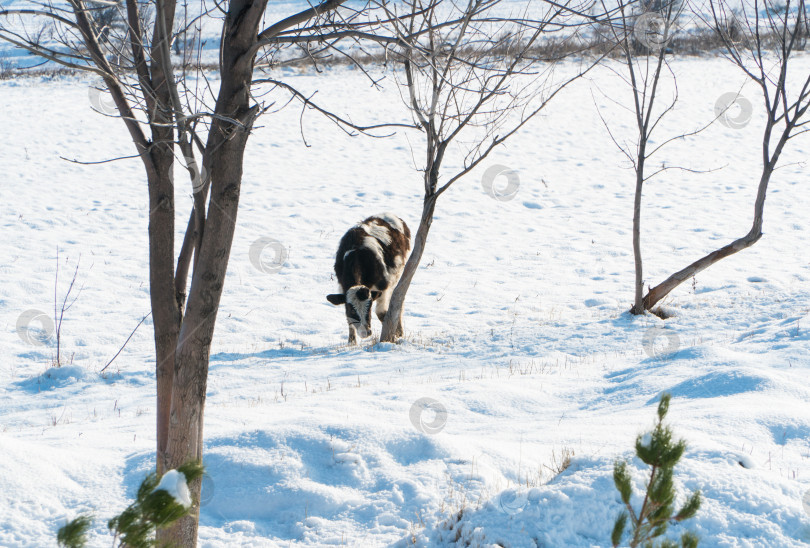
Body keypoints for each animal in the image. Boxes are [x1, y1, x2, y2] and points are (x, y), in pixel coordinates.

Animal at [326, 213, 410, 344]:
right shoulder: (342, 287)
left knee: (398, 301)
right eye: (352, 310)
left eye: (369, 308)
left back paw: (399, 331)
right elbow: (349, 320)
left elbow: (382, 313)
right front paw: (351, 343)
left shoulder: (383, 287)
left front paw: (391, 336)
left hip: (398, 275)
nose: (365, 333)